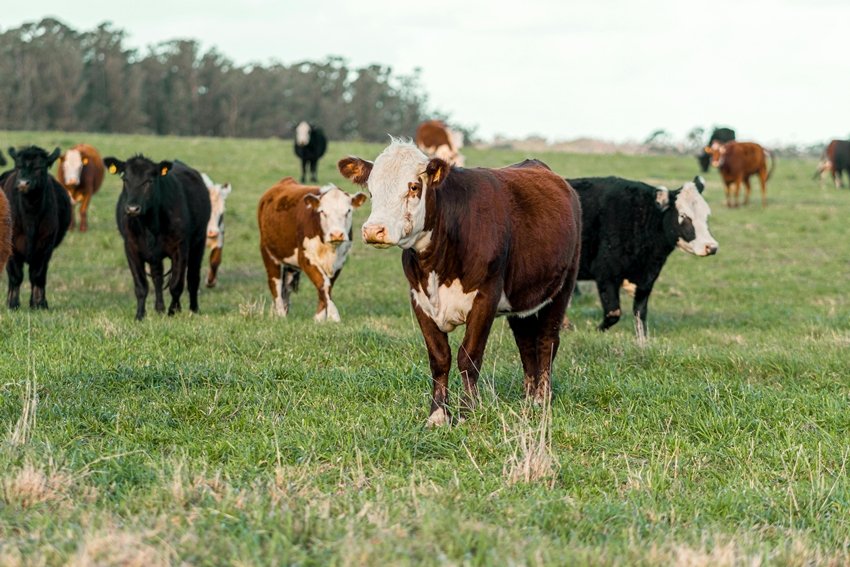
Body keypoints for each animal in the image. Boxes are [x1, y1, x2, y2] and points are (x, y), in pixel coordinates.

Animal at [2, 146, 71, 309]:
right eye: (18, 166)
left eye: (40, 167)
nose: (23, 183)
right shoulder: (12, 246)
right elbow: (15, 275)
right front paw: (12, 303)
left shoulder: (45, 246)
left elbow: (38, 275)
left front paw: (39, 304)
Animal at [105, 155, 211, 321]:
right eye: (125, 179)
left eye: (149, 181)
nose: (132, 208)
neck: (149, 225)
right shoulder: (131, 247)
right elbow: (141, 286)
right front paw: (139, 315)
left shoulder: (180, 246)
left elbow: (176, 284)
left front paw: (173, 311)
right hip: (155, 256)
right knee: (158, 278)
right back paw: (159, 308)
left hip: (199, 241)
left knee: (193, 278)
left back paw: (193, 309)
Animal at [258, 177, 367, 322]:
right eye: (323, 212)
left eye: (348, 211)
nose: (337, 234)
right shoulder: (306, 258)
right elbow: (322, 284)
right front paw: (333, 316)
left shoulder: (340, 262)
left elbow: (328, 286)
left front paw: (319, 319)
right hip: (268, 252)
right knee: (275, 284)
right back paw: (280, 314)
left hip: (290, 265)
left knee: (286, 287)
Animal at [339, 139, 581, 426]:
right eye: (371, 189)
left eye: (414, 187)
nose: (374, 230)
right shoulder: (419, 300)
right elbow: (439, 358)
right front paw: (437, 415)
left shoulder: (486, 296)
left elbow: (469, 357)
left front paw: (467, 412)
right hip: (521, 298)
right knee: (525, 344)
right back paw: (528, 400)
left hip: (562, 287)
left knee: (546, 341)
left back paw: (542, 401)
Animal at [567, 176, 718, 342]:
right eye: (683, 215)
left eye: (706, 215)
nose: (711, 247)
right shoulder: (606, 274)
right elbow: (614, 313)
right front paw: (595, 330)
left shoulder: (647, 279)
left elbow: (640, 313)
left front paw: (642, 342)